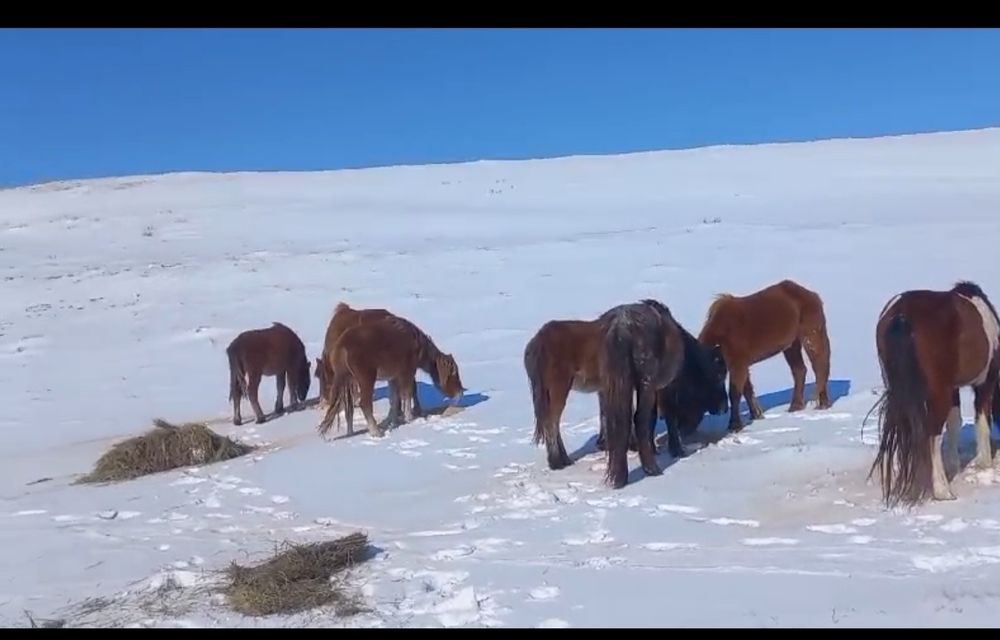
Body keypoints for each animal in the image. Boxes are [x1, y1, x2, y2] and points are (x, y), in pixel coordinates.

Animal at [316, 315, 464, 439]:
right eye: (454, 373)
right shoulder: (407, 372)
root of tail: (342, 346)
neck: (417, 344)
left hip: (346, 380)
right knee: (365, 404)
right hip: (366, 379)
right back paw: (376, 431)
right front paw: (409, 418)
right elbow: (406, 394)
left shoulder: (393, 377)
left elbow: (394, 399)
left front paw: (392, 420)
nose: (460, 392)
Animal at [523, 303, 729, 470]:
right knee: (551, 423)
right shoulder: (661, 388)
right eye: (718, 376)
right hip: (558, 389)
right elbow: (659, 417)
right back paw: (558, 462)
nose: (724, 408)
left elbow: (609, 415)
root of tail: (536, 344)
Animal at [599, 299, 704, 489]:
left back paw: (620, 477)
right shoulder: (665, 387)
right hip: (645, 383)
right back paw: (651, 469)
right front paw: (676, 449)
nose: (690, 428)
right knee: (639, 419)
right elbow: (667, 416)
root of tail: (621, 327)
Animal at [697, 279, 832, 432]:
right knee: (800, 371)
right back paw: (795, 406)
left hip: (811, 336)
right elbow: (747, 390)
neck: (722, 335)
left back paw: (822, 404)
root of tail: (812, 295)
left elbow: (735, 393)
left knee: (820, 366)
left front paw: (734, 425)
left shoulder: (738, 365)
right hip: (792, 345)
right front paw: (756, 415)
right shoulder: (742, 366)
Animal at [869, 281, 1000, 507]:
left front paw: (955, 465)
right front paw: (984, 463)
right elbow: (982, 421)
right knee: (932, 434)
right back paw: (942, 491)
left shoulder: (953, 387)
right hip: (938, 394)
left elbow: (955, 422)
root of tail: (902, 314)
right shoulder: (985, 382)